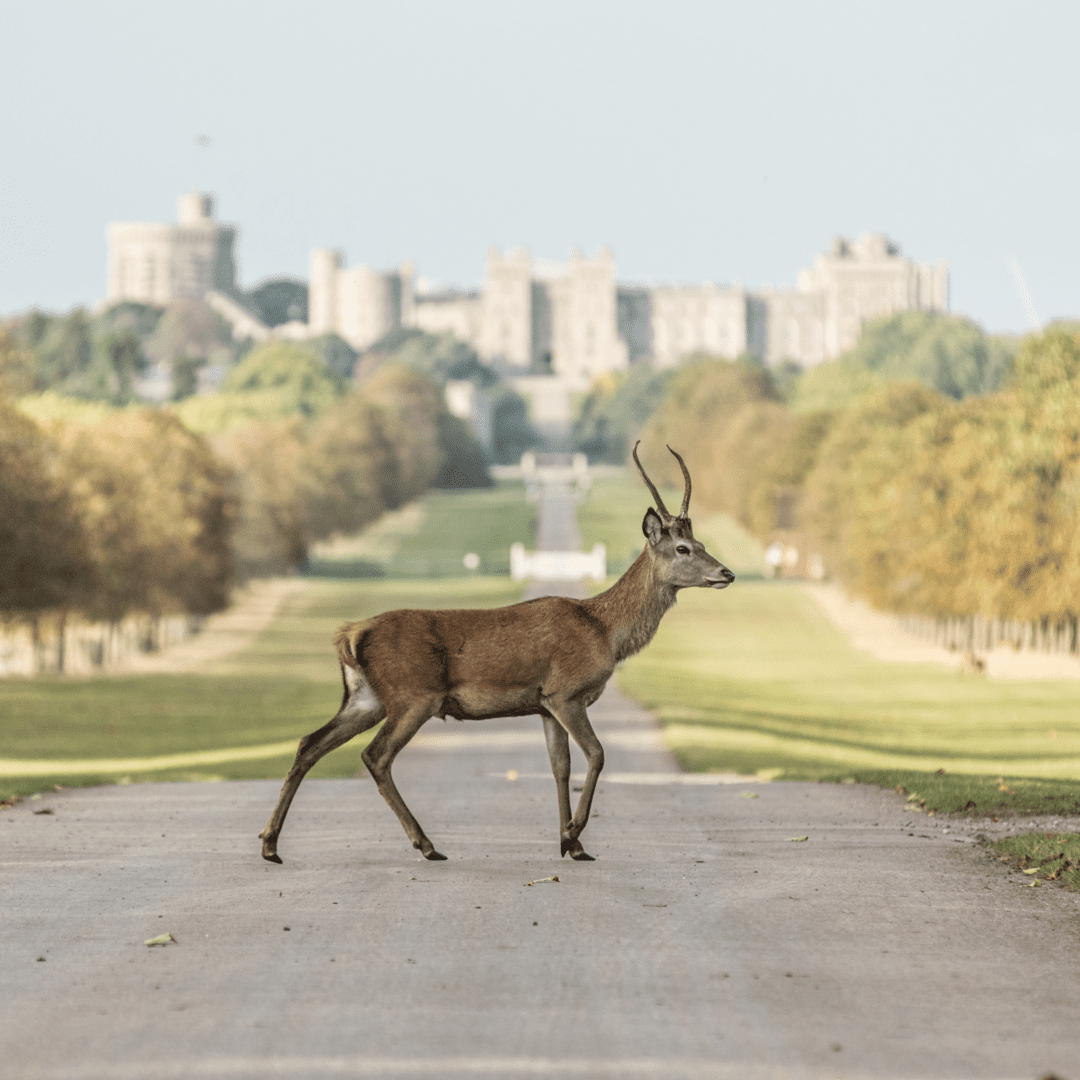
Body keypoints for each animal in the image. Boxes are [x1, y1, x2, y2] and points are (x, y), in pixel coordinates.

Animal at [259, 442, 734, 864]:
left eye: (702, 543)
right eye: (682, 548)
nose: (726, 572)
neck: (605, 633)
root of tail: (351, 633)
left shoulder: (545, 704)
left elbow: (560, 767)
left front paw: (571, 845)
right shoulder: (566, 691)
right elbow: (597, 754)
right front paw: (573, 834)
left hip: (366, 697)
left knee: (309, 743)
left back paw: (270, 845)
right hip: (414, 695)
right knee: (375, 756)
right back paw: (426, 845)